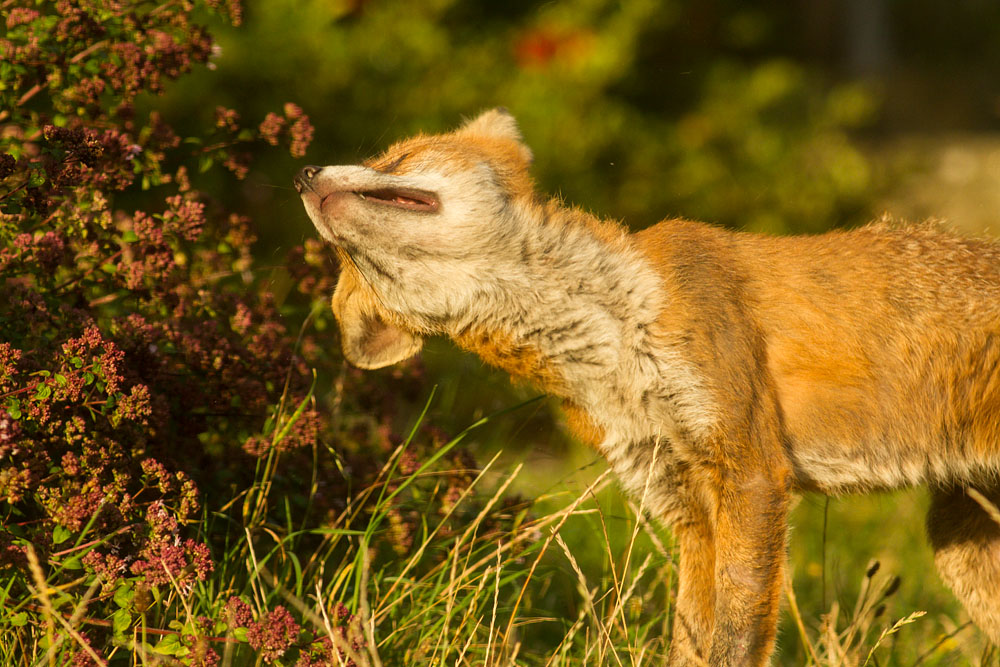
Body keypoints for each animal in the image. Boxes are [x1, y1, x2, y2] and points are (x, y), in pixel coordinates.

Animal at [294, 108, 1000, 665]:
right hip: (960, 543)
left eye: (394, 158)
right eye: (347, 260)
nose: (302, 173)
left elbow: (736, 639)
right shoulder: (685, 502)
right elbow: (692, 639)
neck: (613, 339)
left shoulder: (749, 470)